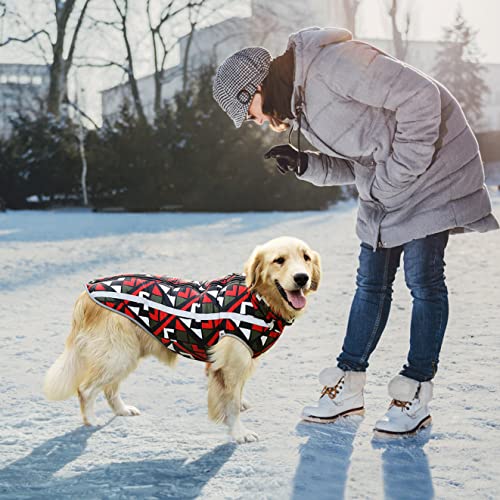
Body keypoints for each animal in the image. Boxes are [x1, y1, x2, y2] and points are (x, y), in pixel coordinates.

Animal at [46, 236, 320, 444]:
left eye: (306, 258)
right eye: (279, 260)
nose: (302, 278)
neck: (259, 300)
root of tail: (87, 291)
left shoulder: (239, 363)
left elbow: (237, 394)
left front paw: (240, 407)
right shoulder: (229, 366)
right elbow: (230, 403)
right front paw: (239, 433)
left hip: (124, 355)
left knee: (109, 389)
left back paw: (122, 411)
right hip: (118, 355)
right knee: (86, 389)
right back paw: (91, 421)